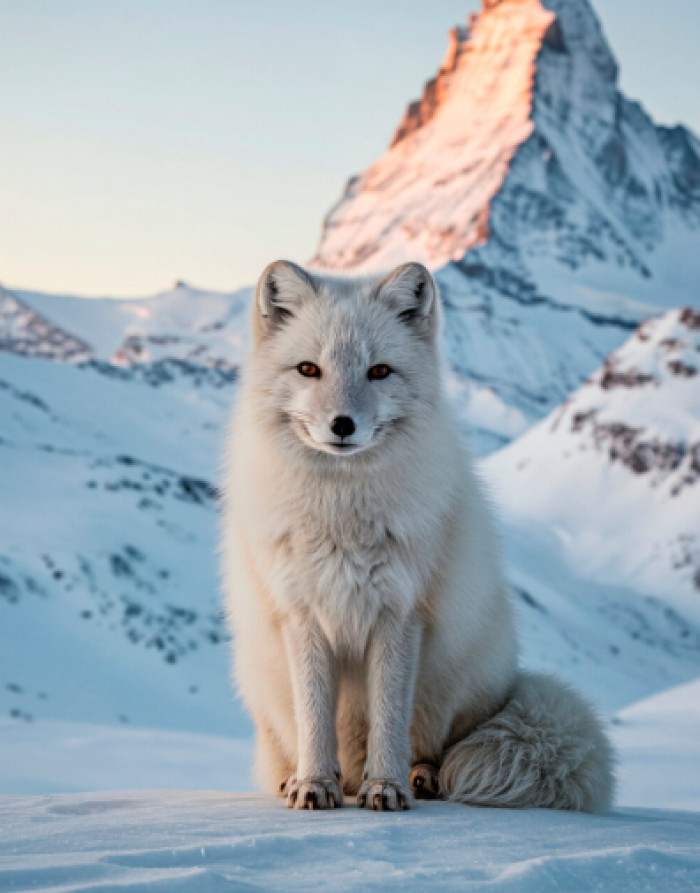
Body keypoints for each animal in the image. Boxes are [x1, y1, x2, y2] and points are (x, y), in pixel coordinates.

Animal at [221, 259, 614, 812]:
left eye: (379, 371)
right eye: (308, 369)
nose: (342, 424)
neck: (342, 519)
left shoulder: (401, 613)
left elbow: (389, 716)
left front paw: (385, 787)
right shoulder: (302, 614)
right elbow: (315, 717)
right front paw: (314, 784)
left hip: (455, 682)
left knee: (435, 745)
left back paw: (417, 778)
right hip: (261, 679)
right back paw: (308, 779)